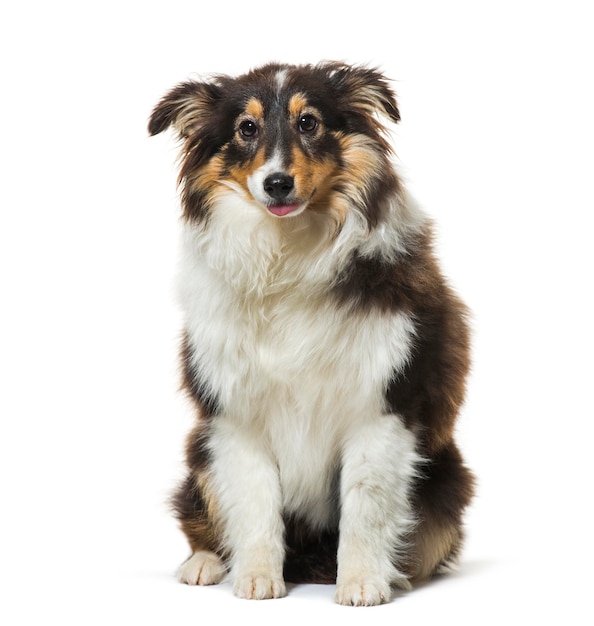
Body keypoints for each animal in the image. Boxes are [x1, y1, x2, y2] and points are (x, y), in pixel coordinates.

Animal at [148, 61, 472, 604]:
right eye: (247, 128)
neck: (288, 255)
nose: (277, 183)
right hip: (201, 450)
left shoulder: (382, 404)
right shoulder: (235, 414)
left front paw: (362, 583)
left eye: (309, 123)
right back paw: (204, 562)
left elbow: (366, 505)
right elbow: (255, 502)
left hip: (447, 482)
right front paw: (258, 578)